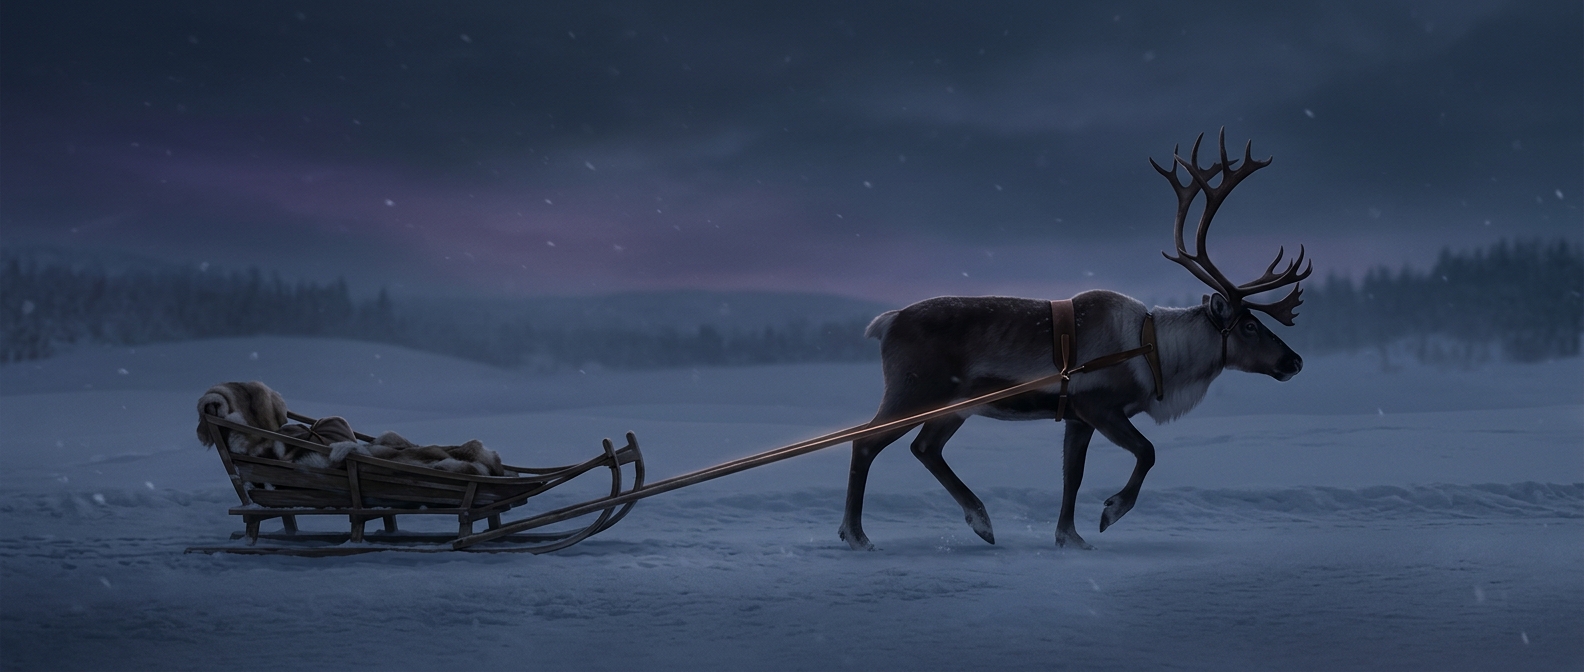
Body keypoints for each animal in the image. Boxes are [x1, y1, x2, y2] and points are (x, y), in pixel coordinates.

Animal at [839, 130, 1311, 551]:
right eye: (1248, 325)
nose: (1295, 361)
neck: (1157, 355)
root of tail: (885, 322)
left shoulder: (1076, 417)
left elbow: (1073, 476)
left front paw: (1070, 536)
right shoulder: (1099, 405)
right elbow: (1147, 452)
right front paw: (1110, 512)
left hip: (956, 405)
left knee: (924, 447)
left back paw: (981, 521)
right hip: (916, 390)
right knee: (865, 442)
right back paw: (858, 536)